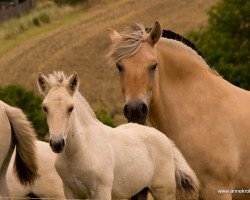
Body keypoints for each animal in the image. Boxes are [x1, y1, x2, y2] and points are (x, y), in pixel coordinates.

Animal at [37, 71, 199, 200]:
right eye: (45, 108)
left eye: (71, 108)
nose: (57, 144)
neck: (80, 150)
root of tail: (165, 139)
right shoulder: (70, 192)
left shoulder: (101, 192)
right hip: (140, 191)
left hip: (163, 191)